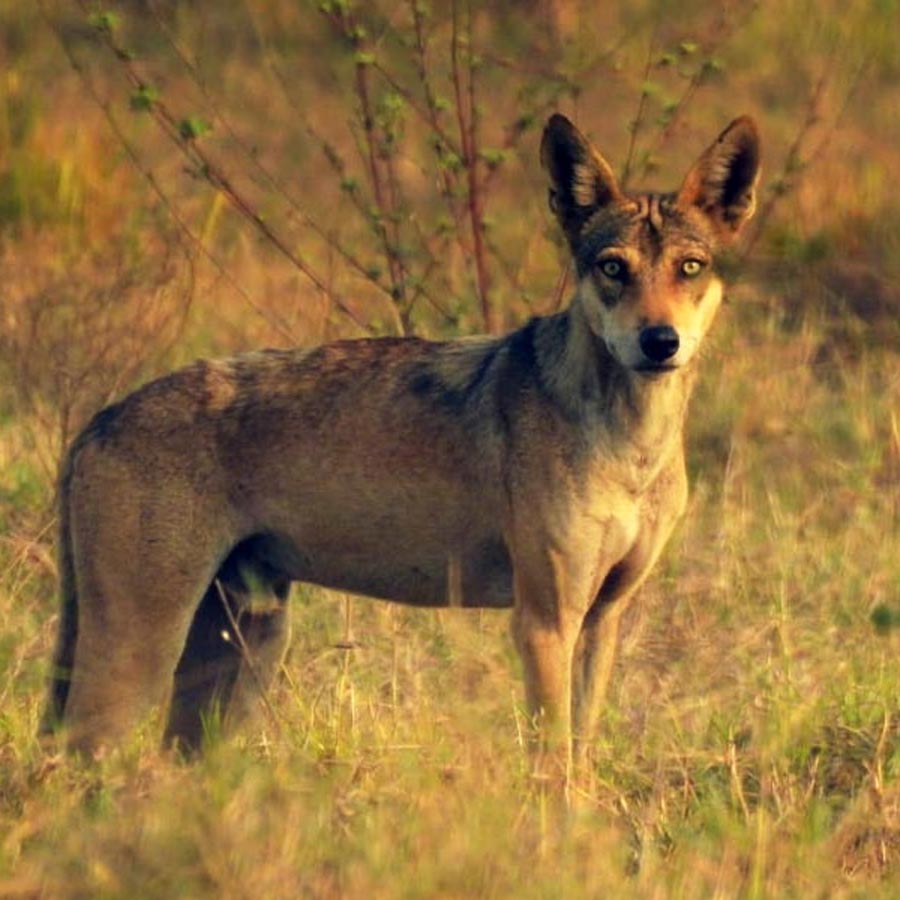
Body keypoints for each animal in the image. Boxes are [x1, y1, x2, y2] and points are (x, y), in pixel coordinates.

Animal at [42, 113, 760, 766]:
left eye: (689, 267)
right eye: (613, 268)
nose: (659, 341)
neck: (630, 443)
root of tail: (101, 418)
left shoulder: (602, 618)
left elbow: (579, 762)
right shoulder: (543, 621)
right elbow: (552, 765)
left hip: (241, 658)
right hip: (140, 656)